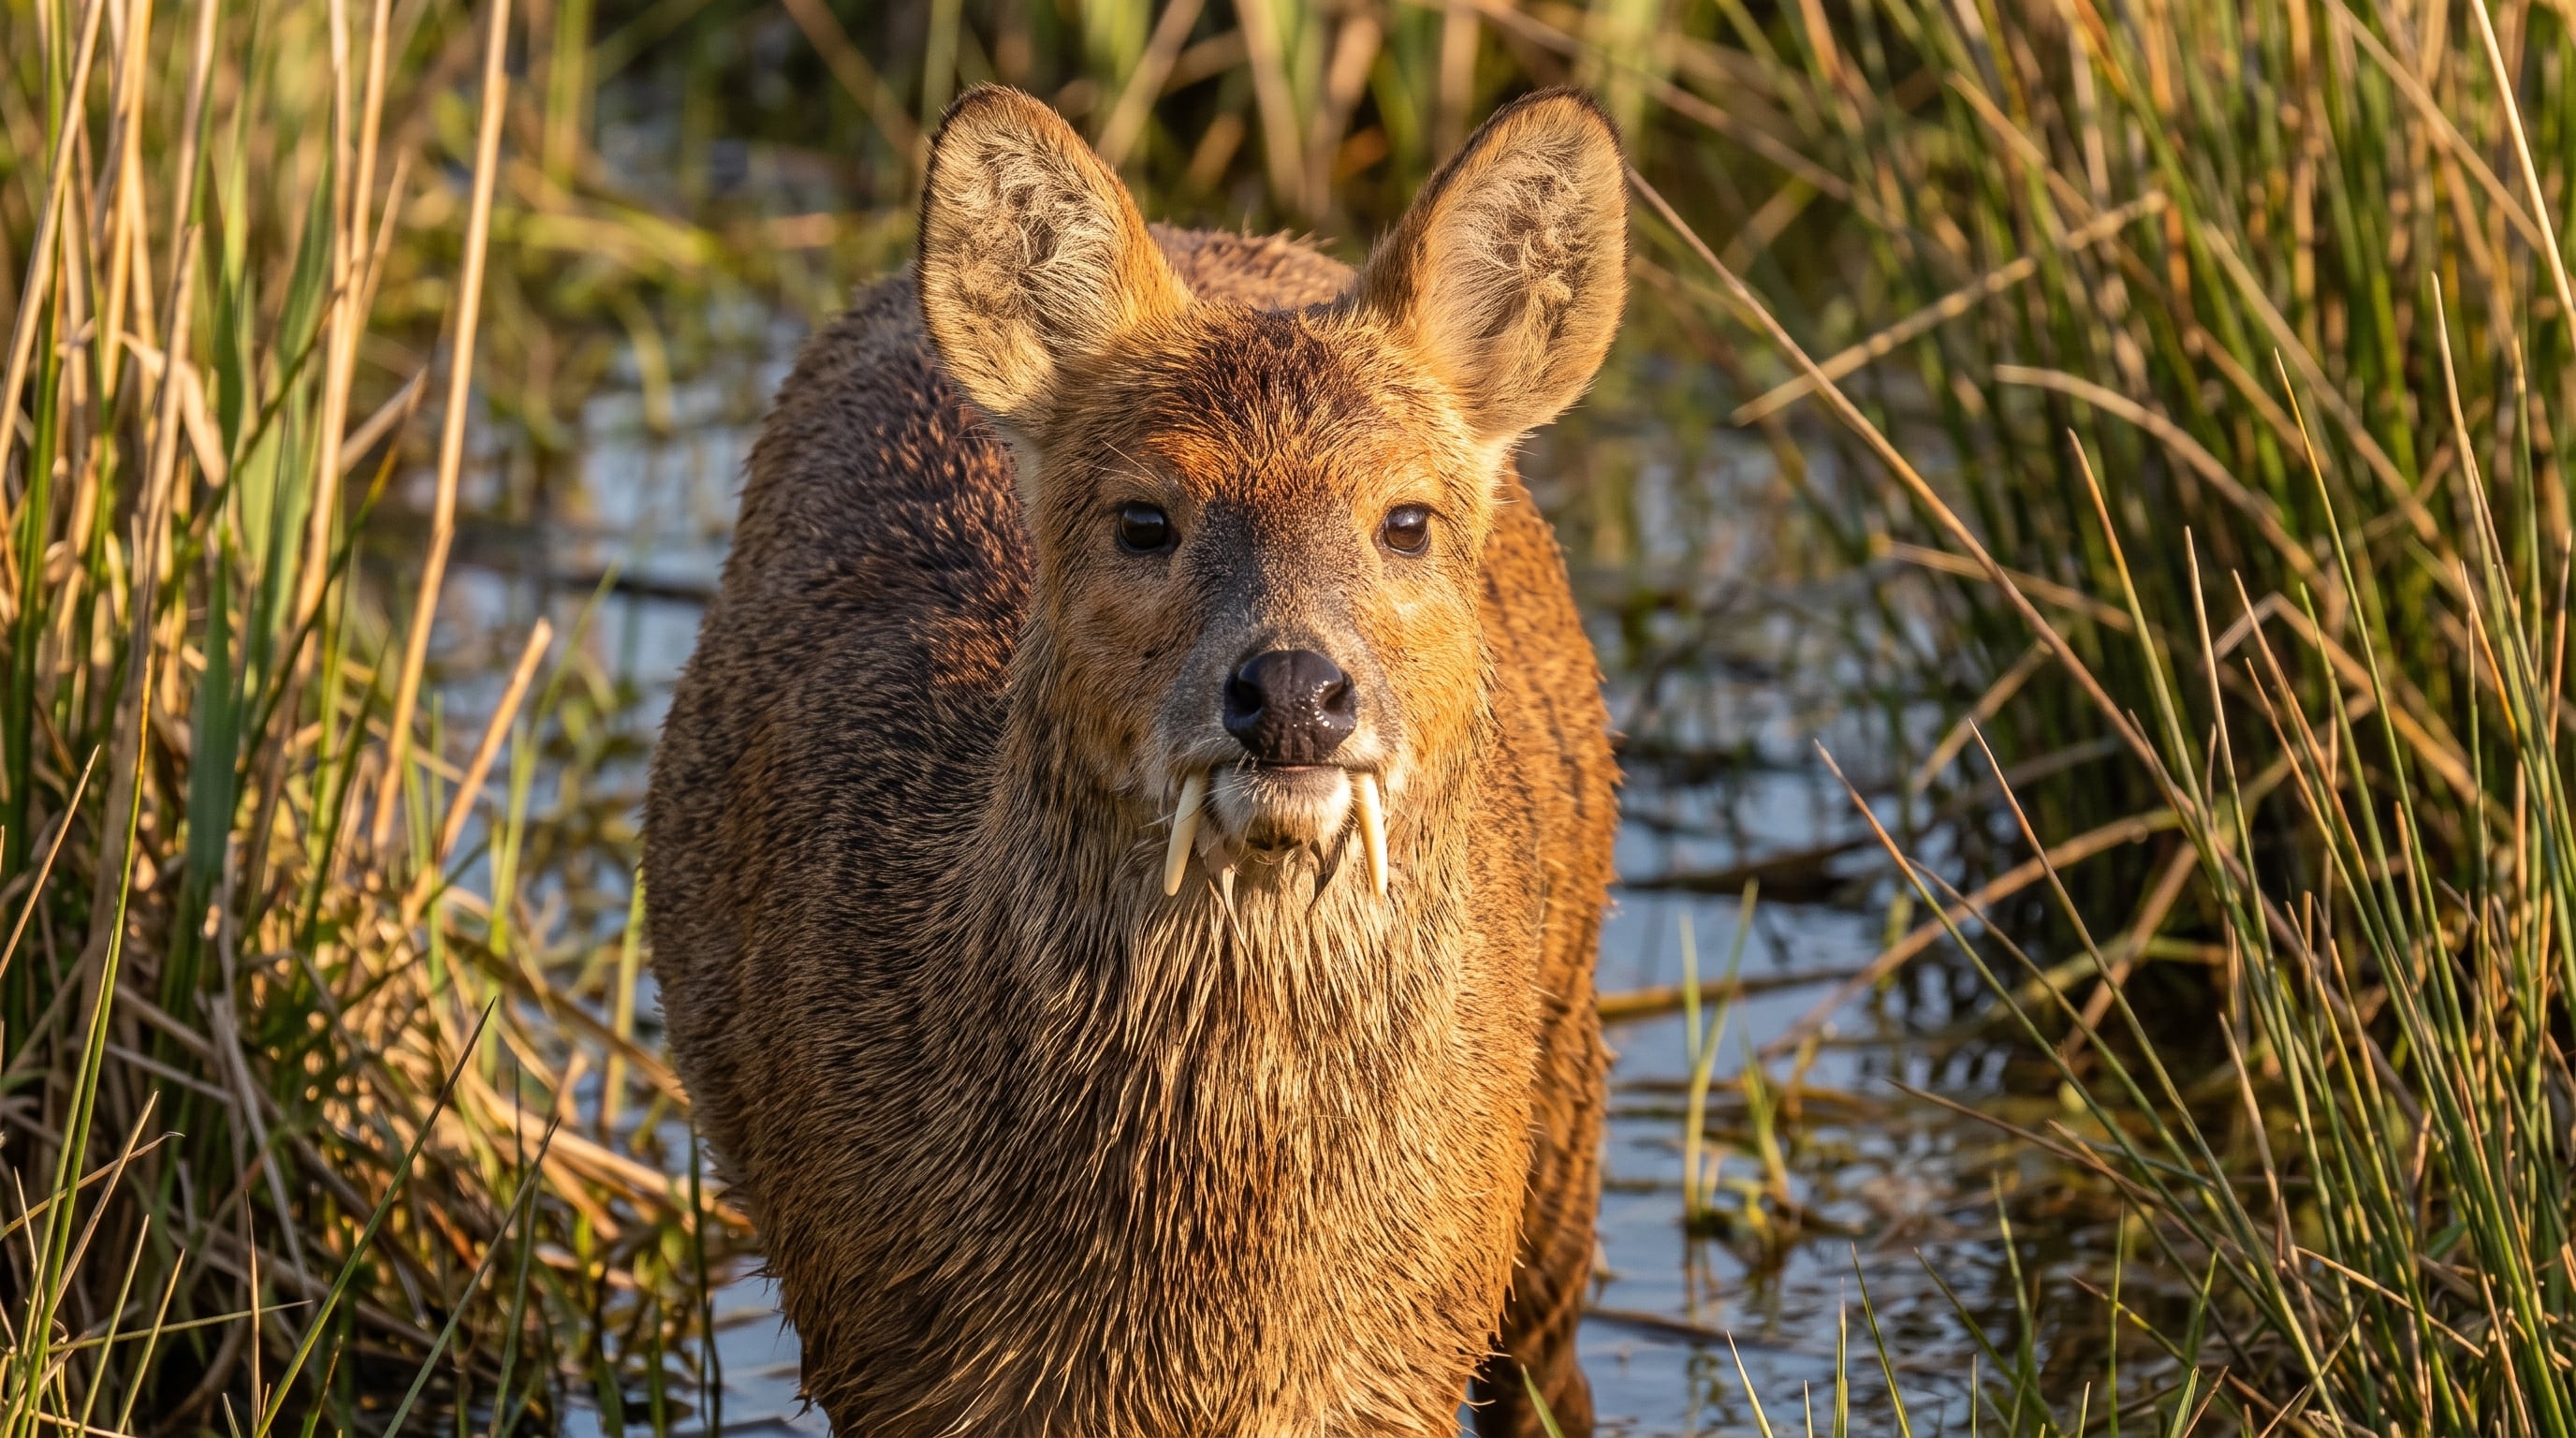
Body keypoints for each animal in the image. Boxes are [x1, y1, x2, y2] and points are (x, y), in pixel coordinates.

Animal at [645, 83, 1625, 1437]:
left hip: (1565, 1067)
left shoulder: (1406, 1364)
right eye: (1144, 518)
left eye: (1407, 519)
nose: (1291, 692)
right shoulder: (879, 1346)